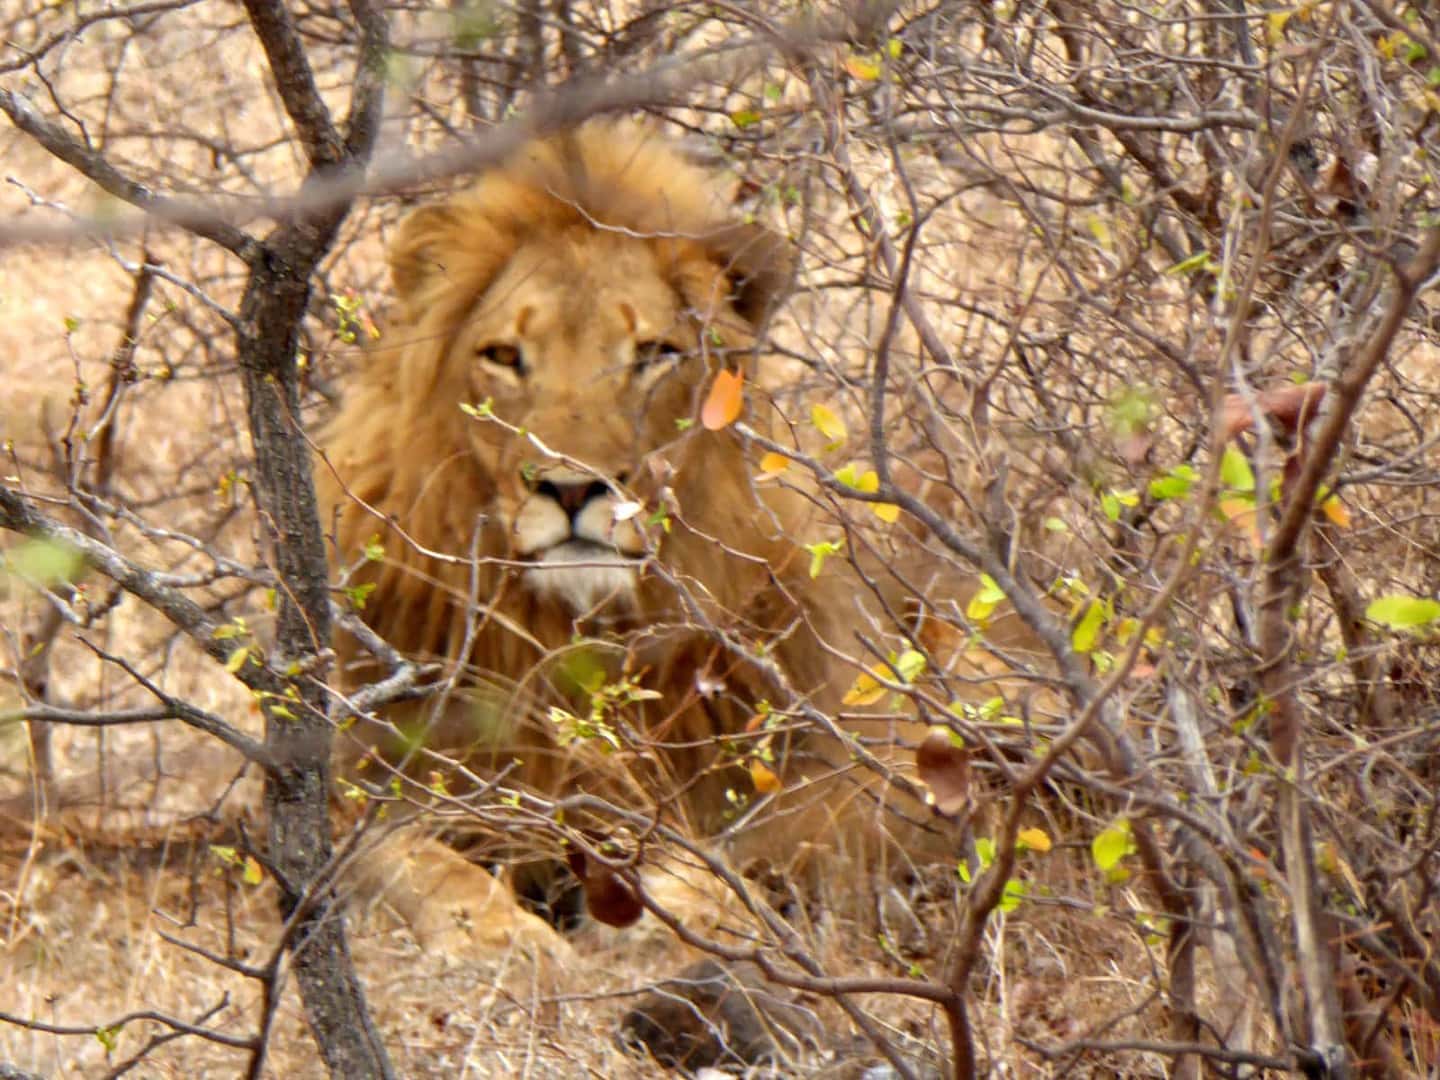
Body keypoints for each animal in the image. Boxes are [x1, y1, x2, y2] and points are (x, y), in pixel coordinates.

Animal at [321, 122, 961, 961]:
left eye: (654, 354)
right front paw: (512, 946)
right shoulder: (353, 778)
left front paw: (664, 919)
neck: (568, 635)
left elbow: (782, 832)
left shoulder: (859, 760)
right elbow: (405, 860)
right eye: (505, 356)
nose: (570, 488)